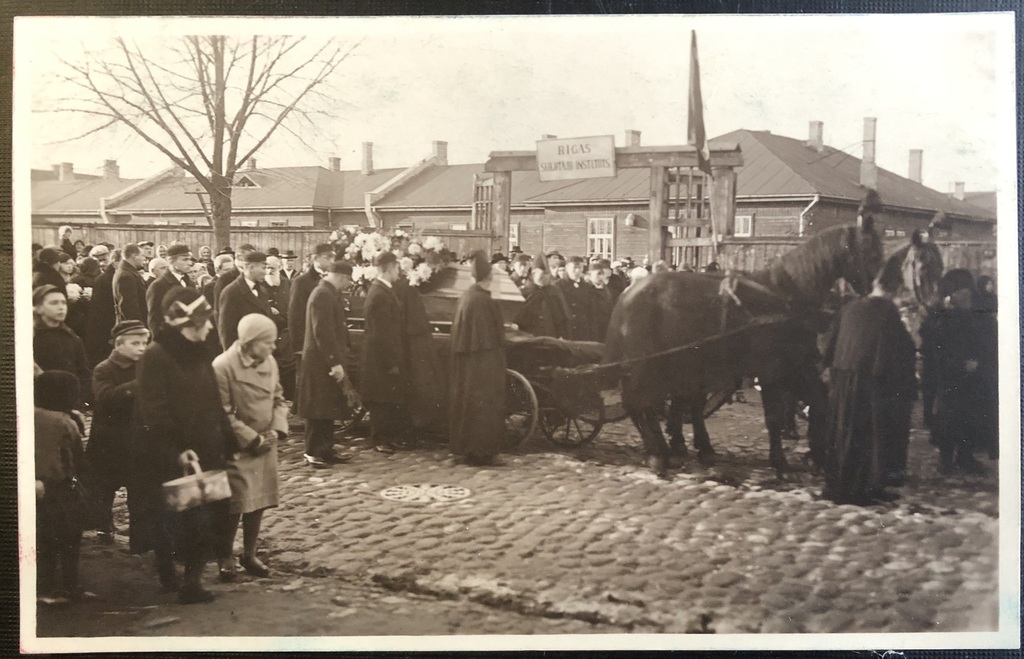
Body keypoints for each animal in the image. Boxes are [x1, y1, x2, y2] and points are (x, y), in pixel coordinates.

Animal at [602, 218, 884, 476]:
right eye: (872, 253)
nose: (879, 294)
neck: (786, 297)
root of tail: (626, 297)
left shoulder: (798, 365)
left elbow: (820, 404)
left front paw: (816, 454)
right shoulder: (772, 372)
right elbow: (774, 417)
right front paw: (780, 461)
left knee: (648, 404)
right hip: (647, 366)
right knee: (640, 403)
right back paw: (656, 454)